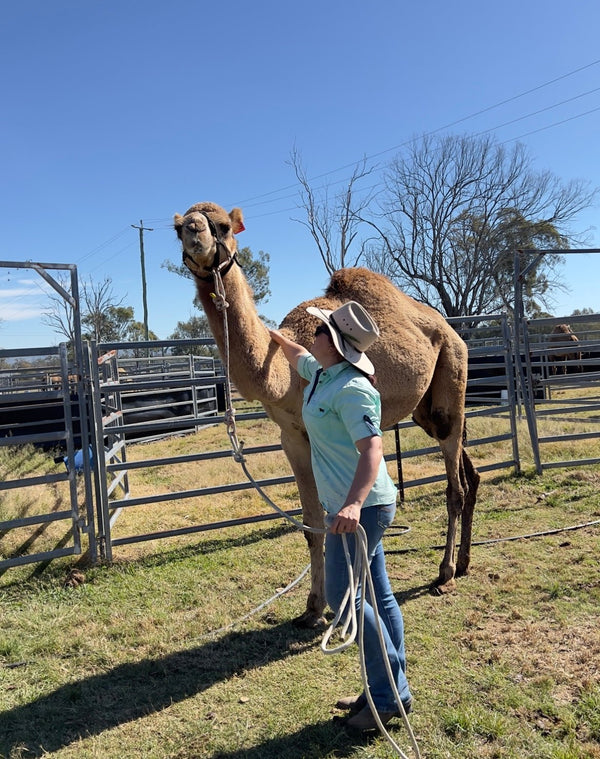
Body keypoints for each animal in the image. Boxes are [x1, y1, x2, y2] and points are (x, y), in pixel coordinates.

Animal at [174, 201, 480, 628]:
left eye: (221, 225)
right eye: (177, 228)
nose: (193, 232)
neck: (281, 375)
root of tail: (452, 331)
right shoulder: (292, 438)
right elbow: (312, 526)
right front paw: (313, 608)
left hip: (452, 378)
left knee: (456, 485)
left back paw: (445, 573)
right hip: (427, 410)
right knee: (470, 472)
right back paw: (465, 562)